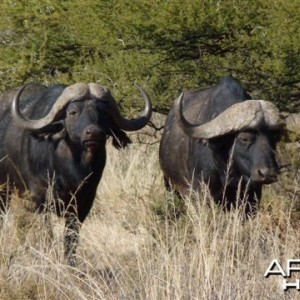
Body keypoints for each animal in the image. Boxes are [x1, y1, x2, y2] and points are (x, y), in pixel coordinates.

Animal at [0, 81, 152, 264]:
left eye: (103, 112)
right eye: (73, 112)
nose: (94, 133)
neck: (70, 170)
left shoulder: (83, 203)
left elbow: (71, 237)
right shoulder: (40, 199)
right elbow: (47, 234)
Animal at [159, 75, 284, 216]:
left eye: (275, 137)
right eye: (244, 138)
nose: (268, 173)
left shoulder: (251, 197)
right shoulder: (201, 194)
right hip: (170, 185)